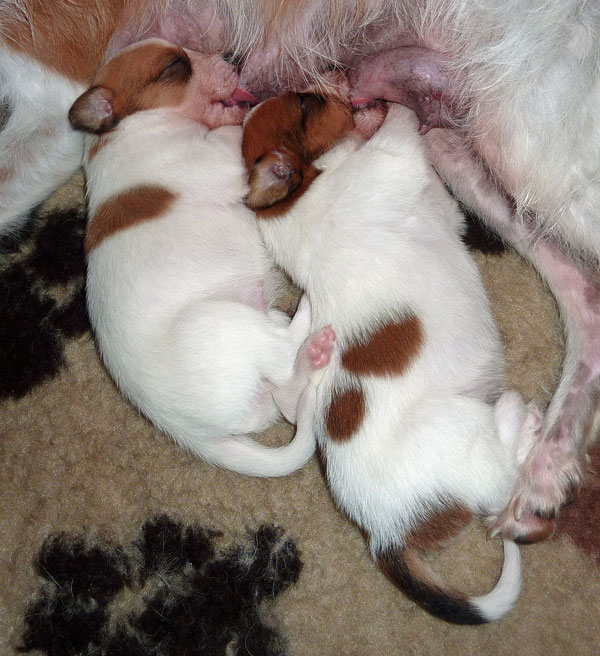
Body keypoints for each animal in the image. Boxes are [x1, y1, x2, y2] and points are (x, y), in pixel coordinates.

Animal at [69, 38, 337, 477]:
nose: (234, 56)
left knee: (289, 394)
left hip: (261, 347)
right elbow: (240, 130)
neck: (130, 126)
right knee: (284, 354)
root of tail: (192, 434)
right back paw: (311, 320)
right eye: (175, 66)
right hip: (223, 322)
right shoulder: (217, 155)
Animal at [241, 92, 542, 623]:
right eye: (307, 102)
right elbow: (399, 137)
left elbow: (443, 204)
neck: (296, 199)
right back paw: (519, 419)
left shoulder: (438, 208)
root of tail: (385, 536)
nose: (350, 92)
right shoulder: (386, 167)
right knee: (498, 477)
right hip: (454, 423)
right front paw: (396, 110)